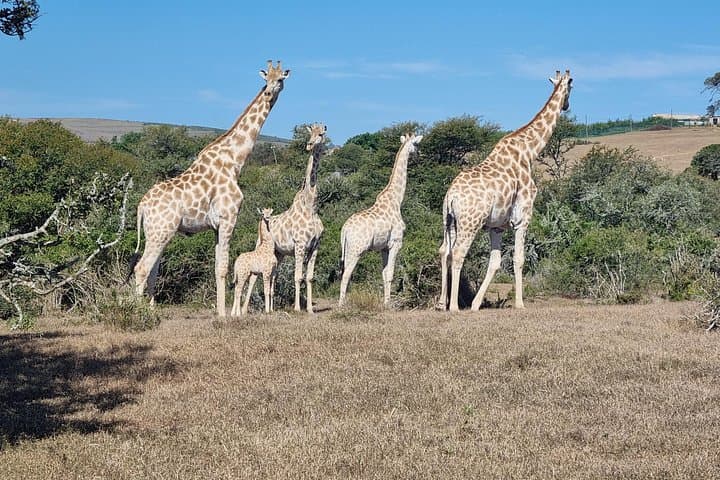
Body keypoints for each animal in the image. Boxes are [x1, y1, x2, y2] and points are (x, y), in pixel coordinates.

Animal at [128, 60, 290, 317]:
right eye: (266, 79)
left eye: (280, 79)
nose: (268, 93)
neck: (235, 160)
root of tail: (141, 206)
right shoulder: (228, 218)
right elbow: (223, 269)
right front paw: (224, 315)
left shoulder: (216, 226)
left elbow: (216, 268)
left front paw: (221, 311)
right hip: (161, 231)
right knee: (142, 268)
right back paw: (135, 311)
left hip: (156, 232)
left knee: (151, 269)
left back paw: (150, 308)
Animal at [243, 123, 327, 313]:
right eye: (309, 133)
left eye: (321, 134)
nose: (309, 145)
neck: (311, 207)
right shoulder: (300, 244)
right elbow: (297, 276)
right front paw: (297, 308)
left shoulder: (315, 246)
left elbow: (309, 277)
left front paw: (310, 309)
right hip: (259, 246)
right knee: (253, 277)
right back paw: (243, 311)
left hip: (278, 253)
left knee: (273, 277)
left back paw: (272, 309)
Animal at [338, 133, 423, 307]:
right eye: (416, 144)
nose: (420, 155)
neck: (396, 200)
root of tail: (345, 230)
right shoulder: (396, 243)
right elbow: (390, 274)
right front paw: (388, 305)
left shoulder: (383, 247)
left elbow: (384, 275)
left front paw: (385, 302)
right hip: (356, 250)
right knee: (346, 275)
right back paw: (341, 306)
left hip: (347, 249)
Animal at [438, 70, 572, 312]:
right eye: (571, 87)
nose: (566, 105)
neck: (530, 151)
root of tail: (450, 196)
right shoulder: (523, 217)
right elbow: (519, 259)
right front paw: (520, 303)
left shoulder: (497, 225)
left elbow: (495, 261)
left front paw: (476, 304)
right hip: (469, 222)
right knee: (459, 253)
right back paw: (453, 306)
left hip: (449, 221)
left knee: (445, 251)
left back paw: (440, 303)